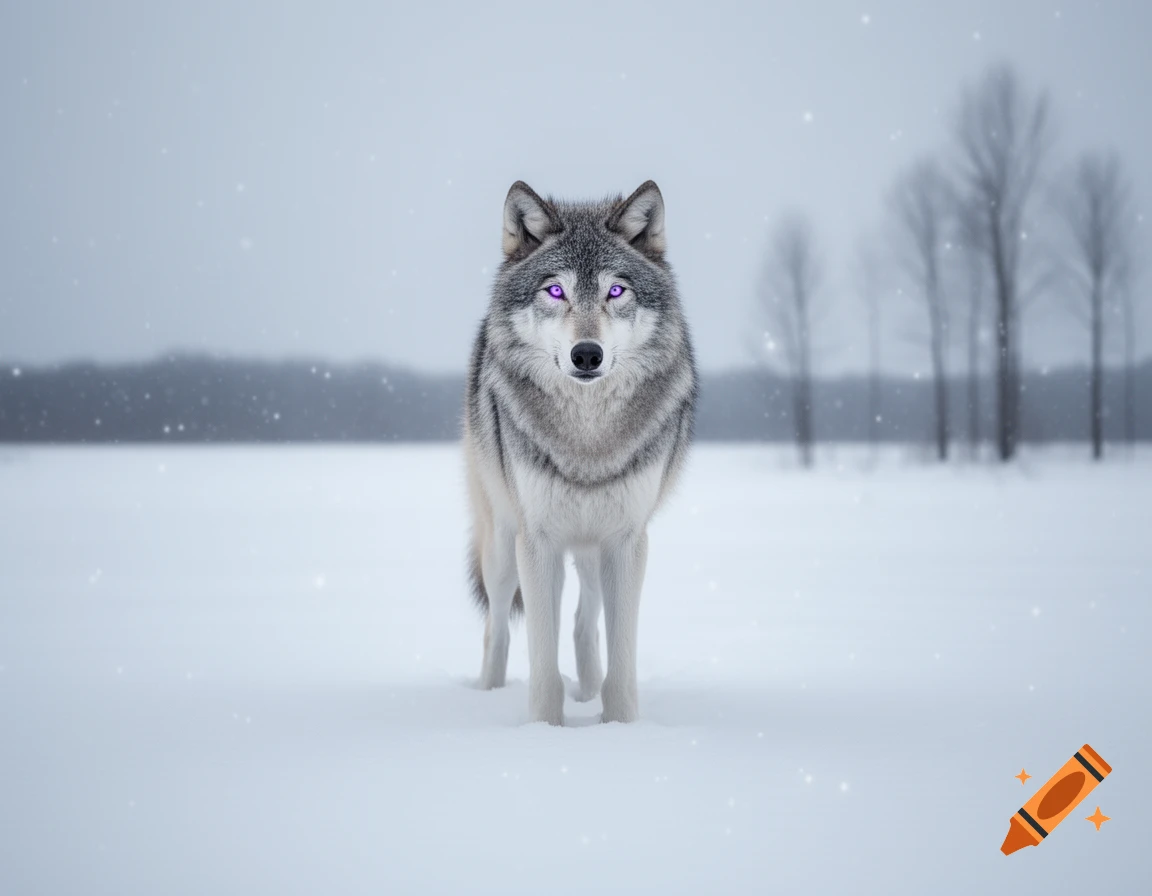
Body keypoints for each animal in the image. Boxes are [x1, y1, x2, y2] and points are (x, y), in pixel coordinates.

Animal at [463, 180, 697, 725]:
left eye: (615, 291)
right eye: (556, 291)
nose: (587, 354)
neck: (587, 440)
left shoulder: (627, 542)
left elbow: (621, 659)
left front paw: (618, 725)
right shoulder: (537, 540)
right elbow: (542, 662)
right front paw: (545, 728)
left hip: (592, 546)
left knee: (582, 619)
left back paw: (588, 690)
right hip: (502, 546)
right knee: (498, 627)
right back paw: (488, 695)